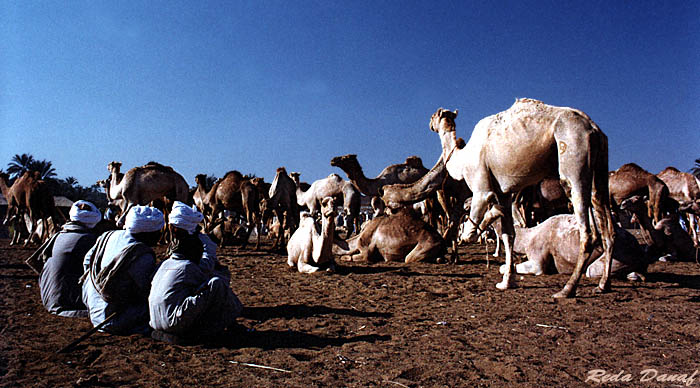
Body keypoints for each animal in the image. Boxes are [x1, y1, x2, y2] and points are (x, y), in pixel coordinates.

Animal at [422, 99, 612, 298]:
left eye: (434, 115)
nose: (430, 123)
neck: (462, 159)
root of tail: (593, 128)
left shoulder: (481, 187)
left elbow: (470, 233)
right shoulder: (504, 193)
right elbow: (509, 235)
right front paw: (506, 282)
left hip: (573, 153)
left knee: (587, 230)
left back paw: (567, 289)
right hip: (600, 166)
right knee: (605, 223)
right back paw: (603, 284)